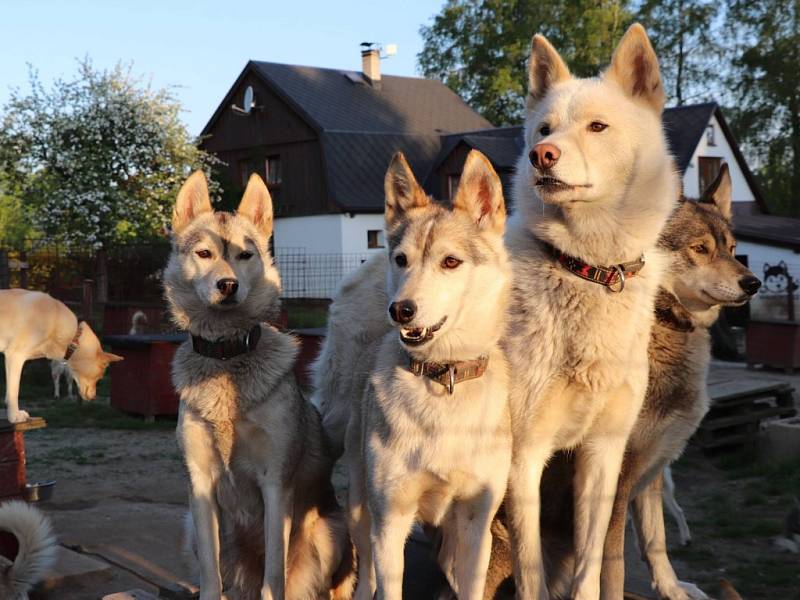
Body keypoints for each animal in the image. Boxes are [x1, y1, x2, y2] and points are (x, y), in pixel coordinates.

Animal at [346, 150, 512, 600]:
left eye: (450, 261)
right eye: (401, 259)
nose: (401, 310)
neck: (443, 376)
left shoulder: (476, 522)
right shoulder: (390, 522)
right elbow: (386, 584)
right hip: (360, 507)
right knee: (365, 572)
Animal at [504, 24, 680, 600]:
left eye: (597, 126)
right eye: (544, 129)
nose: (541, 155)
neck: (586, 268)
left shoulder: (603, 454)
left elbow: (591, 561)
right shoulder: (522, 455)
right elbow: (529, 570)